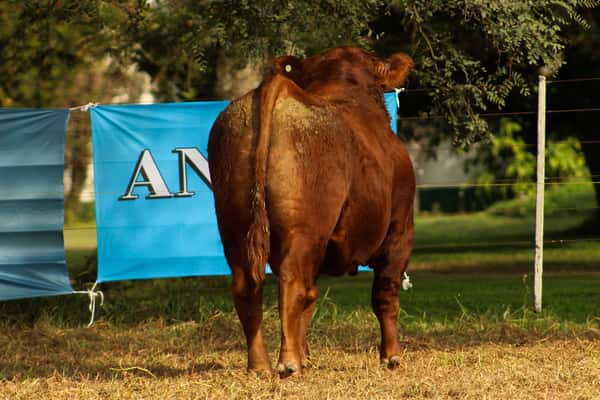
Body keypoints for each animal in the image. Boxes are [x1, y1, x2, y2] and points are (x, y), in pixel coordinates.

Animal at [209, 47, 414, 378]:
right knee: (293, 285)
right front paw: (391, 356)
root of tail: (278, 88)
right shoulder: (400, 229)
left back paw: (261, 366)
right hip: (303, 229)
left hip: (234, 225)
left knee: (249, 287)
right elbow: (386, 294)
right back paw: (289, 363)